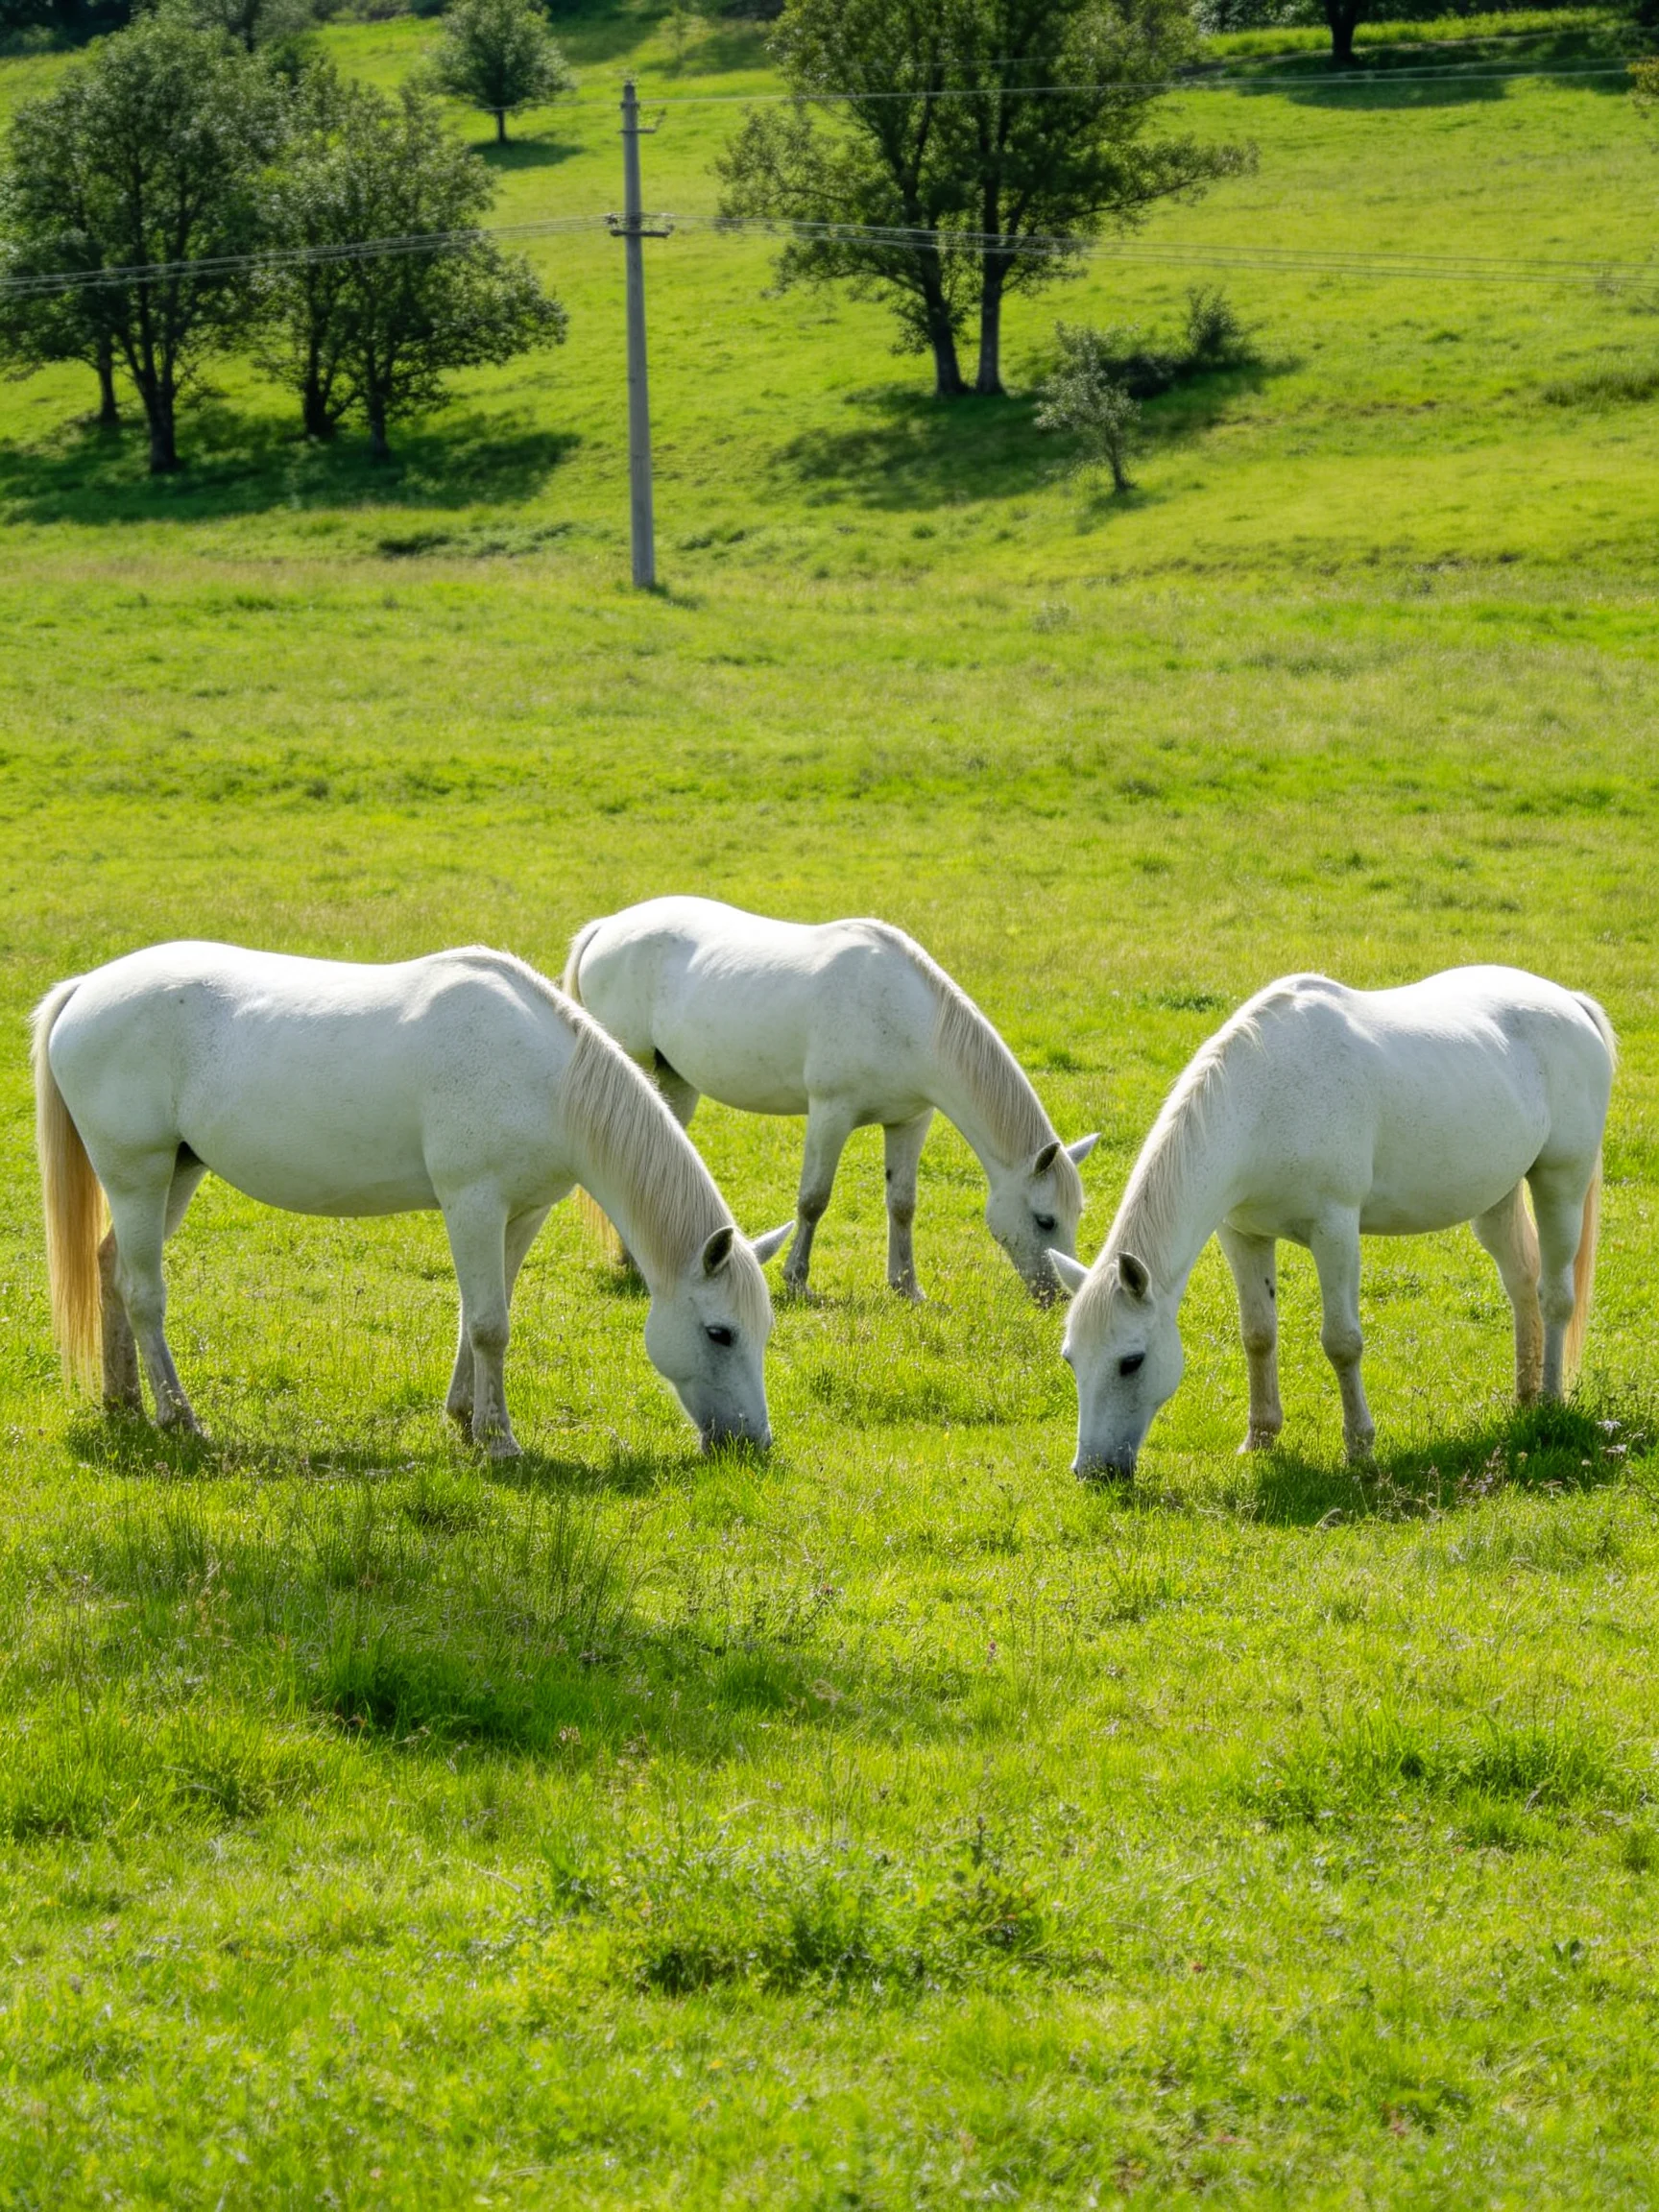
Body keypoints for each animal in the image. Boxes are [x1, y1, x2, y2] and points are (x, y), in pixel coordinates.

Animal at [33, 942, 792, 1458]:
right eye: (719, 1333)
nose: (752, 1444)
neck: (548, 1082)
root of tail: (85, 988)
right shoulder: (473, 1205)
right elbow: (488, 1325)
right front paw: (500, 1442)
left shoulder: (521, 1214)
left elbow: (484, 1315)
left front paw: (466, 1420)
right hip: (137, 1174)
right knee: (143, 1293)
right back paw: (178, 1417)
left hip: (177, 1174)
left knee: (109, 1268)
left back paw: (124, 1403)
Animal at [563, 896, 1098, 1302]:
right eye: (1045, 1219)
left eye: (1075, 1215)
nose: (1057, 1297)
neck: (902, 1015)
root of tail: (607, 927)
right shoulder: (830, 1114)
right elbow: (813, 1199)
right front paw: (796, 1280)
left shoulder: (911, 1121)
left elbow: (902, 1204)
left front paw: (906, 1288)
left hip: (674, 1082)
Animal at [1050, 966, 1615, 1479]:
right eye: (1071, 1358)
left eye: (1131, 1361)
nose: (1092, 1471)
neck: (1263, 1101)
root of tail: (1570, 1001)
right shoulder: (1243, 1235)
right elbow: (1258, 1334)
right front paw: (1260, 1439)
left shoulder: (1335, 1231)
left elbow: (1342, 1342)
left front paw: (1360, 1449)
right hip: (1495, 1197)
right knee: (1521, 1284)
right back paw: (1524, 1398)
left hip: (1561, 1182)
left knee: (1554, 1295)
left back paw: (1549, 1402)